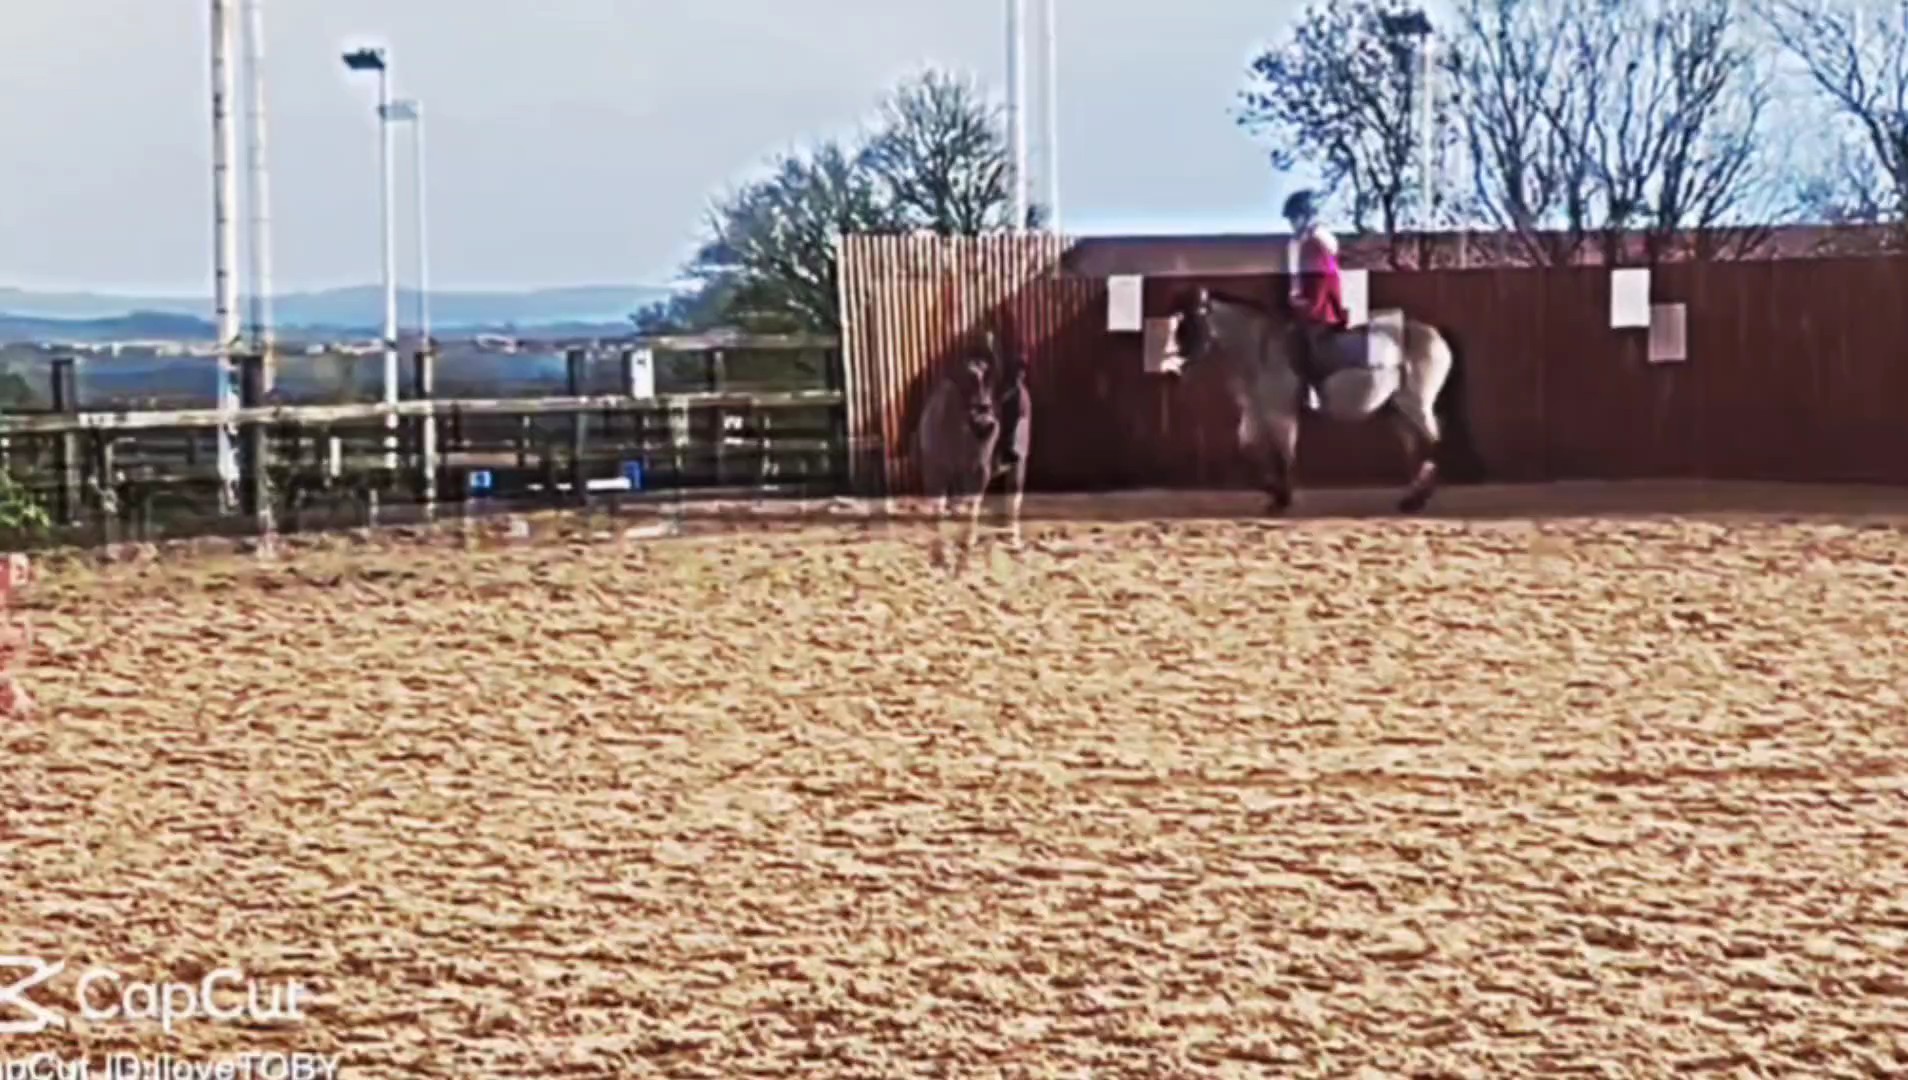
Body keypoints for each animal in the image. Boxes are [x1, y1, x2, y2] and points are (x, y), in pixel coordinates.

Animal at [1160, 286, 1479, 514]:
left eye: (1191, 323)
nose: (1174, 368)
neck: (1260, 348)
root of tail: (1435, 333)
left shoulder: (1280, 411)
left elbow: (1285, 452)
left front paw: (1283, 498)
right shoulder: (1254, 411)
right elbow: (1248, 448)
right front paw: (1273, 492)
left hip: (1416, 405)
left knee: (1432, 441)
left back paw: (1419, 499)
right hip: (1398, 409)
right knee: (1415, 447)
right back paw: (1411, 499)